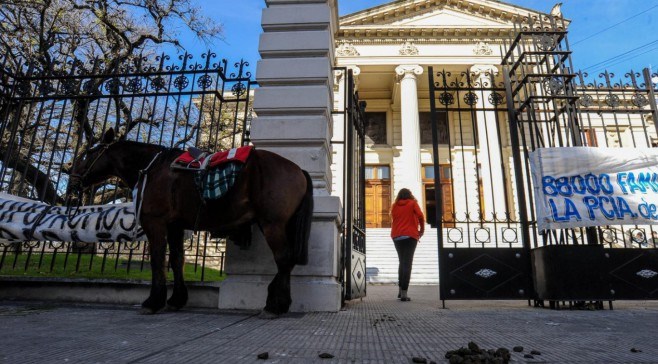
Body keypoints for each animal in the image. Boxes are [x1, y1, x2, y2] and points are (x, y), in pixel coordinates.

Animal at [69, 129, 312, 318]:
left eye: (88, 154)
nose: (72, 179)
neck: (153, 168)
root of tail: (299, 169)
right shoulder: (175, 225)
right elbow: (177, 259)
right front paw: (176, 299)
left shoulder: (155, 222)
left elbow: (157, 258)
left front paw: (154, 301)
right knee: (288, 260)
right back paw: (278, 300)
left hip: (272, 223)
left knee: (283, 258)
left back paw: (275, 305)